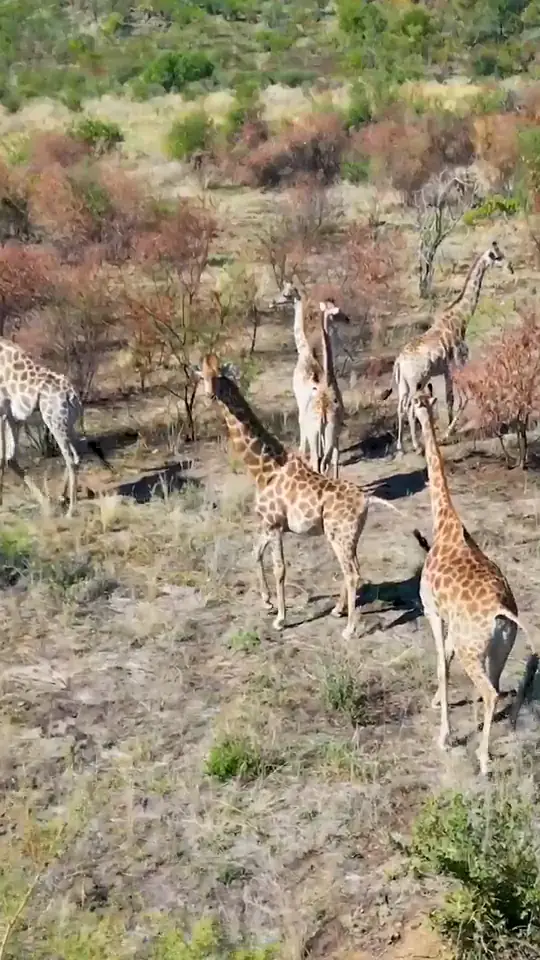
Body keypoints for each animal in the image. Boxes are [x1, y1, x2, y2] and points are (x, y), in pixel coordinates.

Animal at [0, 339, 112, 516]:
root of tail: (73, 396)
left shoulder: (3, 411)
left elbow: (4, 457)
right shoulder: (12, 416)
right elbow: (9, 457)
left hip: (54, 422)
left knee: (71, 458)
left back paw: (70, 510)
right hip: (68, 423)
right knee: (79, 451)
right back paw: (61, 498)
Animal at [193, 354, 422, 640]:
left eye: (218, 376)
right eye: (202, 376)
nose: (210, 395)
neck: (264, 469)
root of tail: (367, 500)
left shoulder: (274, 525)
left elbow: (280, 568)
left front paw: (281, 619)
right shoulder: (267, 524)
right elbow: (255, 553)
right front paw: (266, 602)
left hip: (339, 536)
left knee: (353, 574)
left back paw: (349, 629)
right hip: (348, 537)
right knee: (353, 569)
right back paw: (336, 610)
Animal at [269, 283, 349, 471]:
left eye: (286, 294)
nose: (272, 302)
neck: (304, 352)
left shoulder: (298, 398)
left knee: (319, 457)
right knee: (322, 457)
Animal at [382, 241, 514, 454]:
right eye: (497, 257)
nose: (510, 267)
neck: (460, 320)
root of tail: (398, 362)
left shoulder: (445, 369)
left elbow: (449, 397)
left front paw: (449, 430)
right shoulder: (457, 363)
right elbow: (457, 398)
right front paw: (447, 433)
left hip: (403, 384)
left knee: (401, 407)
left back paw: (402, 446)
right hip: (416, 380)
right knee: (409, 407)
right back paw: (417, 445)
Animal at [412, 384, 535, 775]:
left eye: (417, 403)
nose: (417, 412)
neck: (446, 524)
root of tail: (502, 613)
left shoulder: (432, 610)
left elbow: (441, 663)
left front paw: (445, 735)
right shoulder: (451, 623)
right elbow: (446, 658)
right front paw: (438, 705)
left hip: (475, 651)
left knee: (491, 691)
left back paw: (483, 760)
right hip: (499, 649)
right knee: (493, 687)